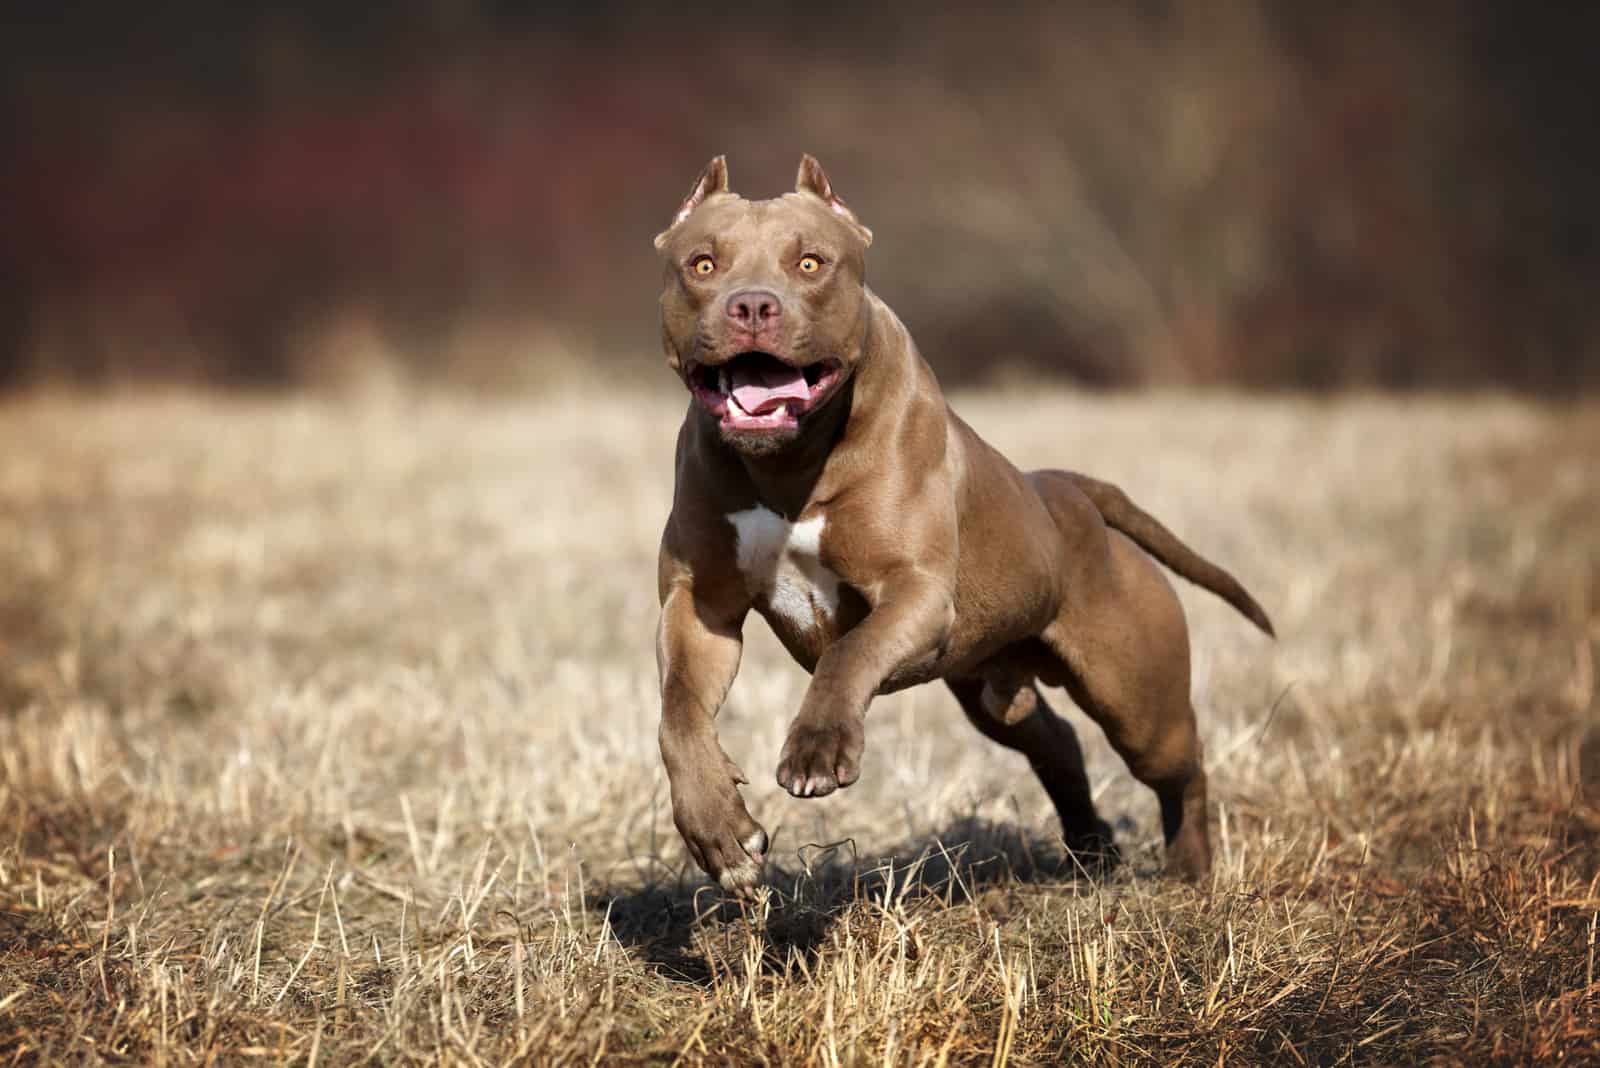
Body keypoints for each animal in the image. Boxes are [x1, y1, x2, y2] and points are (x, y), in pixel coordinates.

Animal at [652, 156, 1273, 895]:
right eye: (702, 264)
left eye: (810, 263)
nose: (751, 305)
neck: (787, 463)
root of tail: (1065, 491)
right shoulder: (701, 608)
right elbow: (677, 714)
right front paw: (719, 830)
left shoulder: (914, 592)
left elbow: (847, 651)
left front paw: (818, 747)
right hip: (994, 690)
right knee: (1056, 742)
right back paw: (1091, 851)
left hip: (1138, 704)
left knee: (1183, 764)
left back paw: (1189, 870)